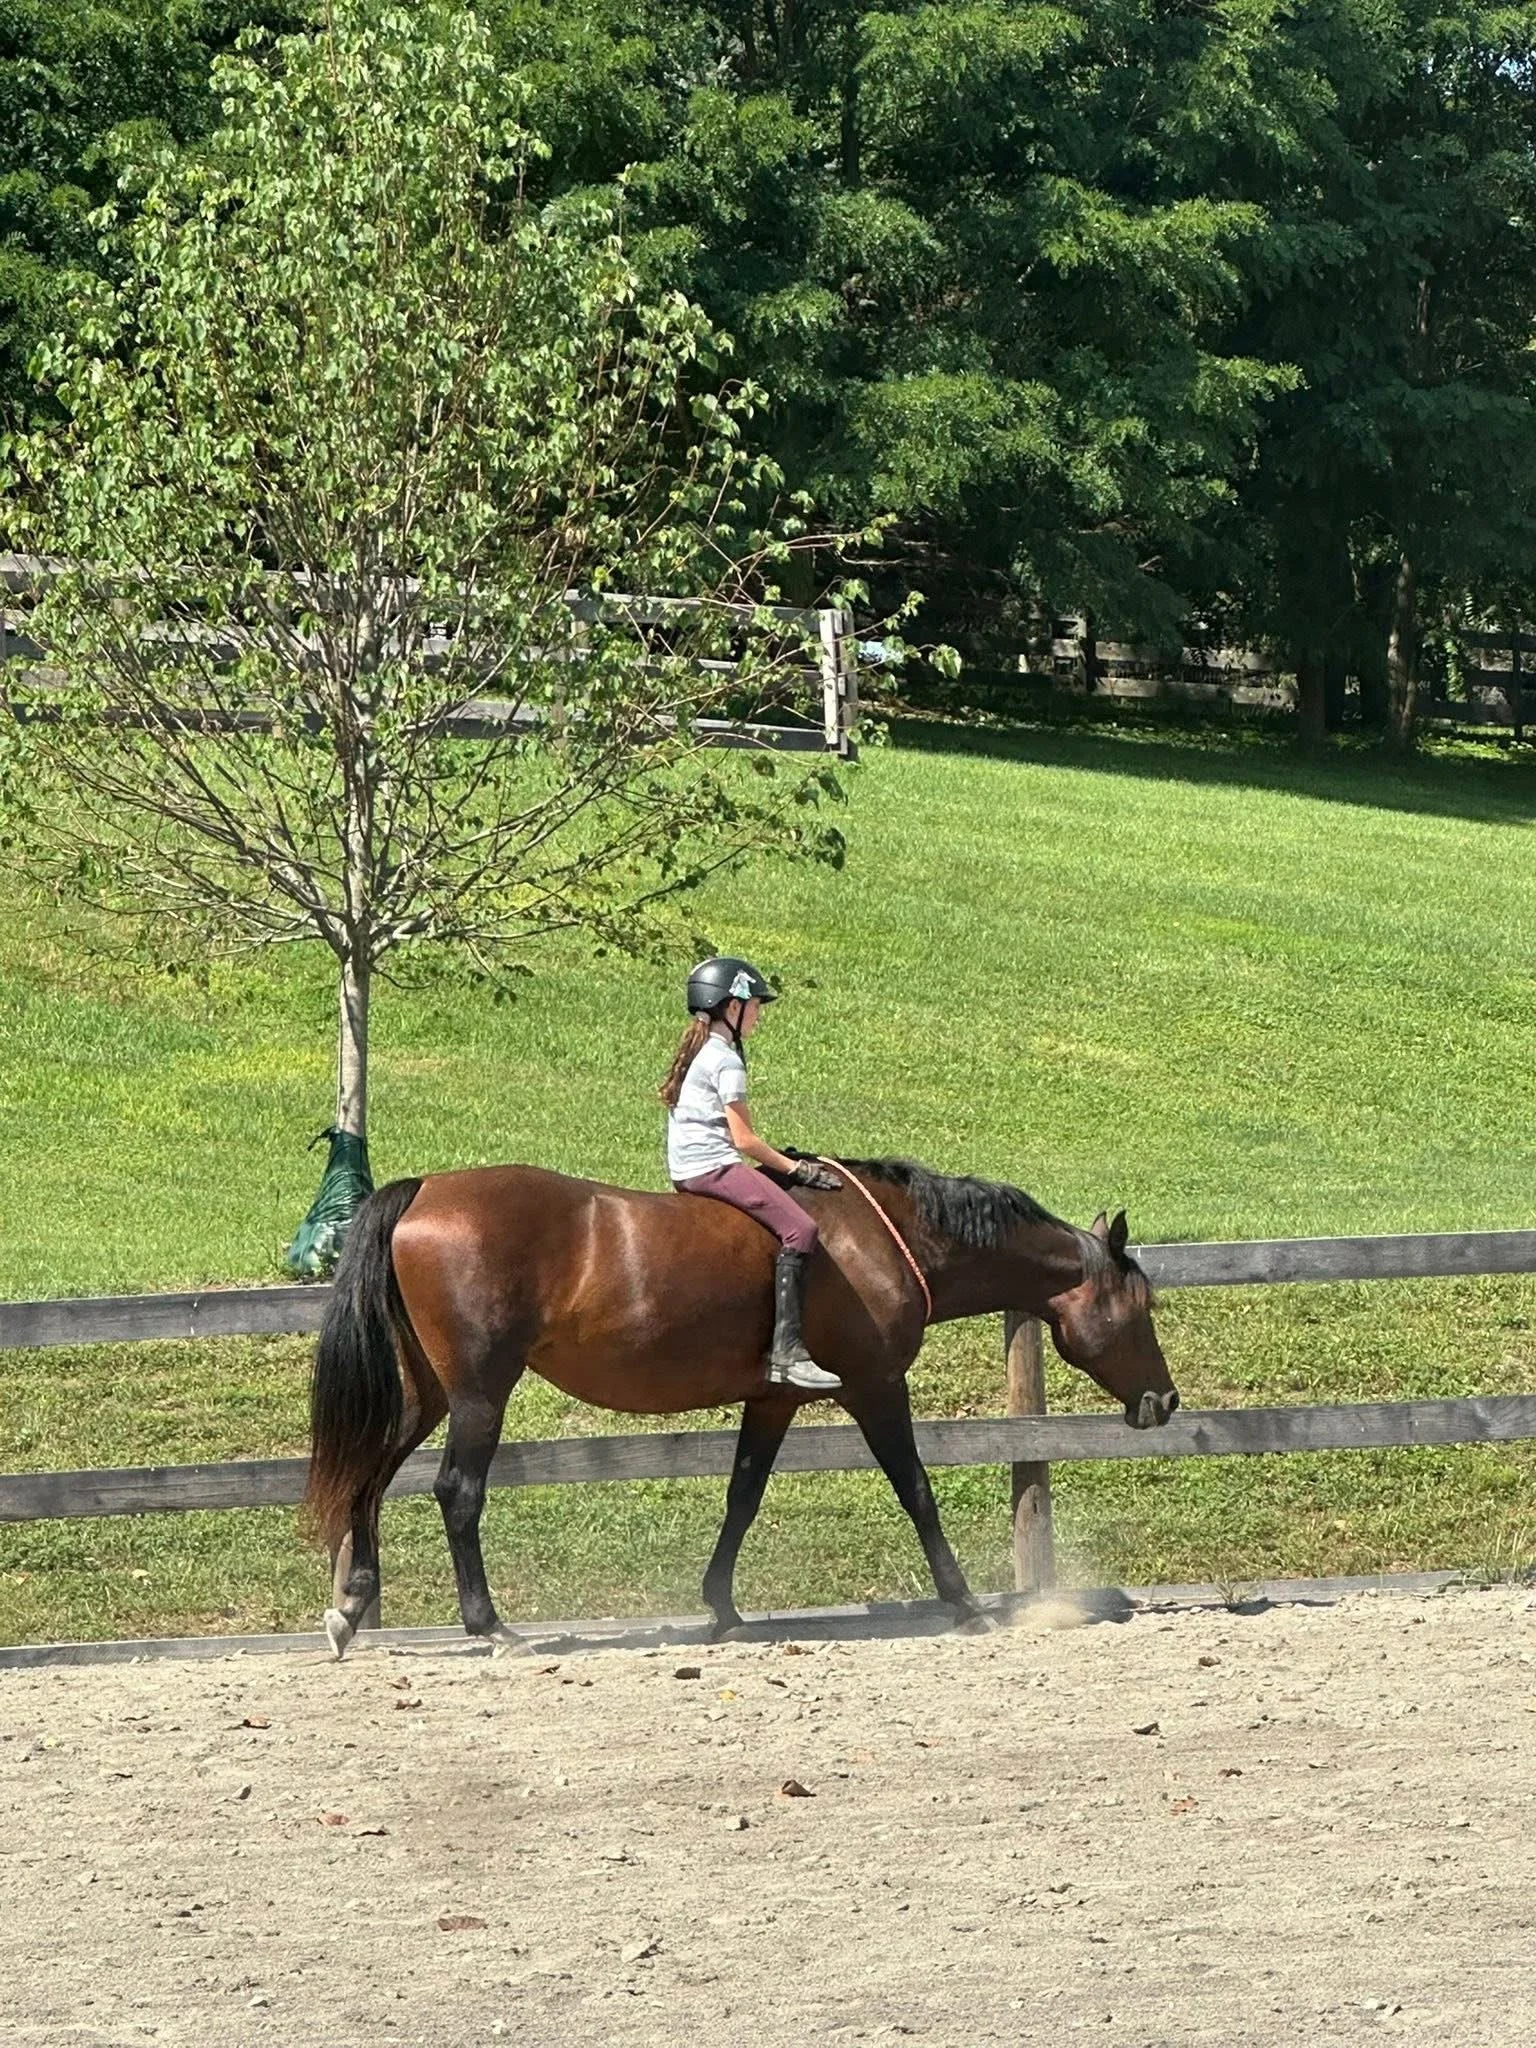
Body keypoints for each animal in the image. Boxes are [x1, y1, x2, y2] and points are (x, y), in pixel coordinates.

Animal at [305, 1156, 1180, 1656]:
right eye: (1143, 1305)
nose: (1165, 1400)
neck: (881, 1237)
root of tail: (424, 1192)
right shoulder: (875, 1387)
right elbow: (916, 1489)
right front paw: (964, 1604)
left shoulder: (772, 1399)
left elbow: (744, 1496)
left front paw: (721, 1608)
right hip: (481, 1392)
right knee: (457, 1492)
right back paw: (489, 1627)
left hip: (427, 1393)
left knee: (369, 1479)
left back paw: (350, 1609)